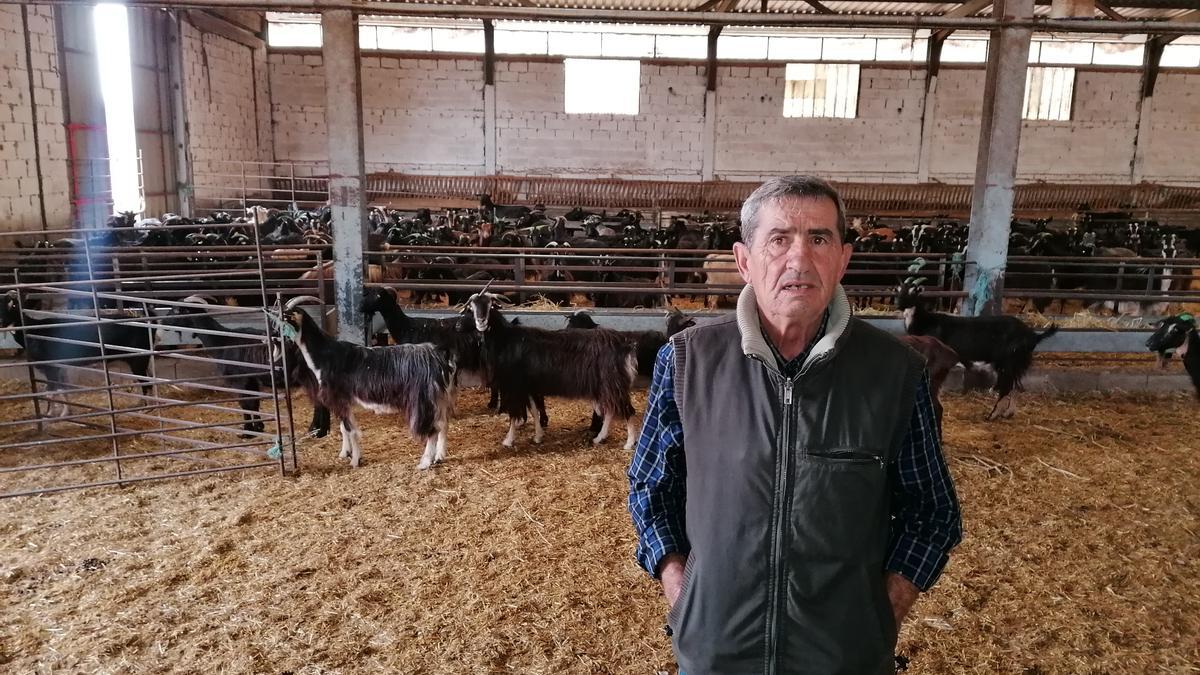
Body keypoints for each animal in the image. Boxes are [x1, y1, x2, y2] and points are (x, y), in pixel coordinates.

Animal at [2, 291, 152, 417]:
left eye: (12, 305)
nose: (2, 323)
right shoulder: (59, 367)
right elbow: (62, 389)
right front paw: (65, 412)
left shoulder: (51, 367)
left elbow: (51, 391)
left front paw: (49, 414)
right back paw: (142, 404)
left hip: (138, 360)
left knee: (146, 382)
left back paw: (146, 408)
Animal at [165, 294, 328, 437]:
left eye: (177, 310)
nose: (163, 321)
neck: (223, 341)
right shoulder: (251, 380)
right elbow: (254, 403)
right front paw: (258, 427)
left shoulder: (239, 380)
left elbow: (245, 403)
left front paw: (247, 431)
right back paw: (320, 430)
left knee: (319, 401)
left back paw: (316, 431)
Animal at [278, 306, 456, 468]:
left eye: (287, 315)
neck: (324, 355)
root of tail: (439, 356)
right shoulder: (344, 402)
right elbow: (344, 428)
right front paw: (345, 453)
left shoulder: (338, 398)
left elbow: (351, 430)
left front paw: (355, 460)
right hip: (440, 399)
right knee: (443, 425)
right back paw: (439, 456)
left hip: (423, 401)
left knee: (433, 430)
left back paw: (425, 463)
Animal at [456, 291, 638, 449]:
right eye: (470, 308)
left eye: (490, 305)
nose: (481, 321)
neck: (506, 339)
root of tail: (625, 345)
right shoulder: (528, 386)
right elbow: (534, 411)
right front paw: (538, 436)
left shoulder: (515, 387)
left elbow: (514, 416)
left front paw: (508, 440)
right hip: (605, 386)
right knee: (610, 411)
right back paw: (600, 438)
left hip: (613, 383)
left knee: (627, 410)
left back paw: (629, 443)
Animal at [897, 277, 1056, 415]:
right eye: (898, 290)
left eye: (913, 291)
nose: (898, 305)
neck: (925, 320)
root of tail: (1033, 335)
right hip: (1018, 363)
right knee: (1016, 386)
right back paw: (1007, 413)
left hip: (1009, 362)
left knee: (1007, 386)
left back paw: (993, 414)